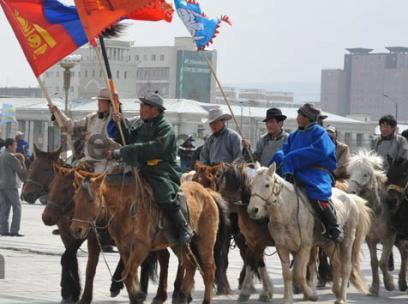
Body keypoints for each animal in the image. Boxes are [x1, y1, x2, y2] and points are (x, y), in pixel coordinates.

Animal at [69, 169, 226, 304]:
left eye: (90, 200)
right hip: (178, 244)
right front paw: (136, 296)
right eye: (75, 199)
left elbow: (128, 273)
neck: (126, 207)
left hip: (205, 242)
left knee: (209, 270)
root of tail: (207, 192)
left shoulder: (141, 247)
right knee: (190, 265)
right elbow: (129, 276)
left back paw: (203, 300)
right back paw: (181, 297)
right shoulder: (124, 247)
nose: (76, 230)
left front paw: (138, 295)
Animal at [214, 163, 274, 300]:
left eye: (234, 187)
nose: (220, 209)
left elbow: (253, 261)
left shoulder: (259, 243)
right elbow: (255, 262)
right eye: (221, 187)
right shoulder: (253, 242)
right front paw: (265, 290)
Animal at [247, 164, 372, 304]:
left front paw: (311, 295)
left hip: (347, 240)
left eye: (267, 185)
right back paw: (337, 291)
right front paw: (288, 298)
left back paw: (342, 297)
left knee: (346, 267)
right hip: (328, 244)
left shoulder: (304, 247)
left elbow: (299, 275)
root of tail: (351, 198)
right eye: (251, 185)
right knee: (336, 264)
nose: (253, 210)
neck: (287, 213)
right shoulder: (282, 247)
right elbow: (287, 274)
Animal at [346, 151, 396, 296]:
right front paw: (374, 287)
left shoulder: (389, 238)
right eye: (350, 173)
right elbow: (374, 262)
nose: (350, 192)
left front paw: (390, 284)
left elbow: (383, 262)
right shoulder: (370, 239)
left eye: (365, 174)